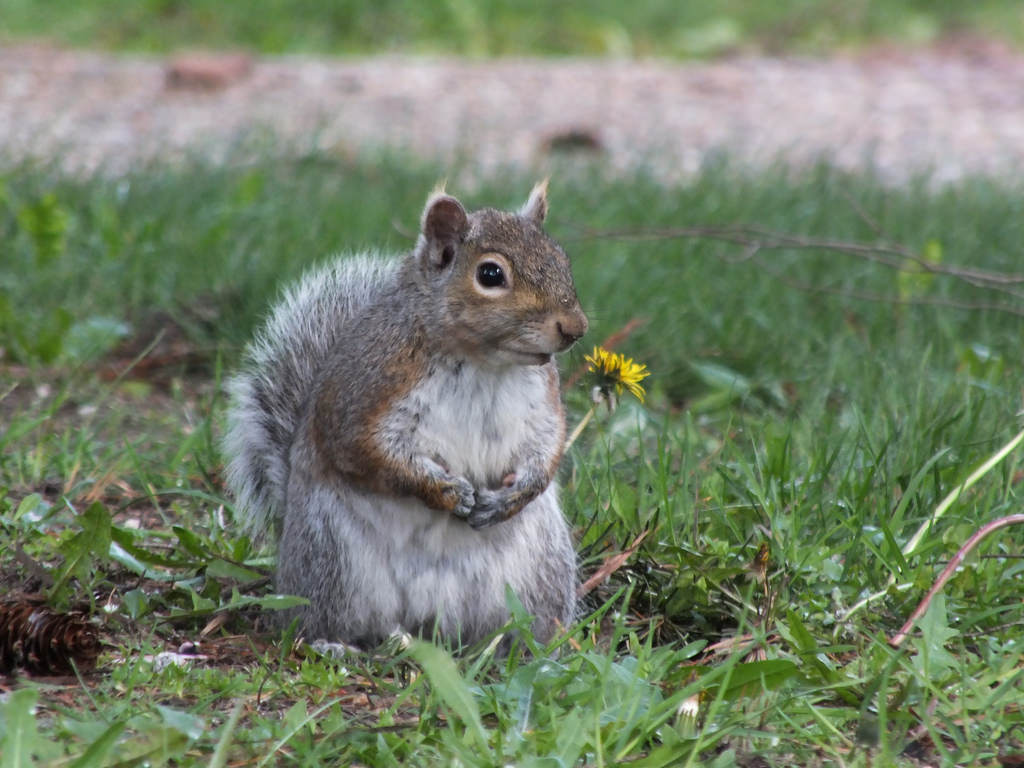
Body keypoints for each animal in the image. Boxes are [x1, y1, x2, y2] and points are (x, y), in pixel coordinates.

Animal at [227, 183, 589, 647]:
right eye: (491, 275)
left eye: (561, 259)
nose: (574, 328)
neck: (484, 363)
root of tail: (432, 623)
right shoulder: (363, 397)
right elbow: (368, 454)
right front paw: (446, 491)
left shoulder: (543, 404)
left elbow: (548, 448)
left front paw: (513, 496)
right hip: (333, 560)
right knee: (328, 622)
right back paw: (336, 644)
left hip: (541, 571)